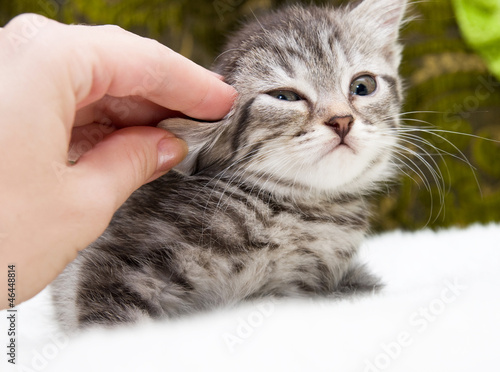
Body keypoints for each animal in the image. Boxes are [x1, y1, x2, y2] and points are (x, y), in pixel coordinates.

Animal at [52, 0, 408, 332]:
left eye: (363, 86)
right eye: (285, 96)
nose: (342, 120)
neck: (300, 209)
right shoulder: (114, 258)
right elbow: (110, 324)